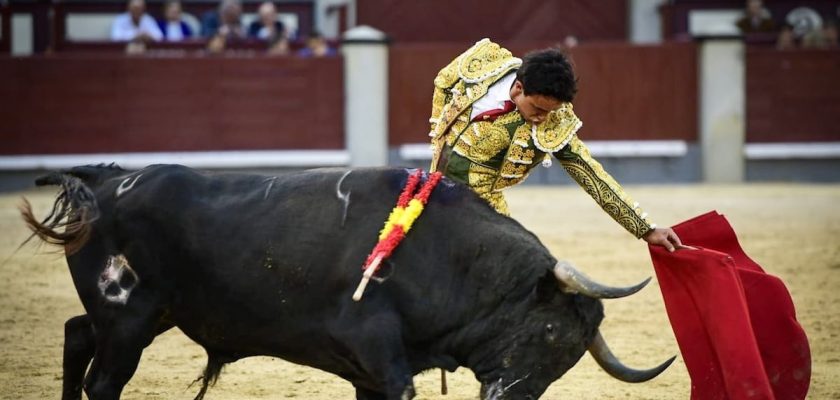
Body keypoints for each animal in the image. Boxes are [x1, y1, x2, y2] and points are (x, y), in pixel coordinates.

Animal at [23, 164, 672, 400]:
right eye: (552, 332)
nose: (511, 397)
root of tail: (104, 181)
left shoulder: (370, 370)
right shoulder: (375, 347)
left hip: (144, 316)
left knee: (75, 334)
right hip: (127, 319)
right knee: (103, 383)